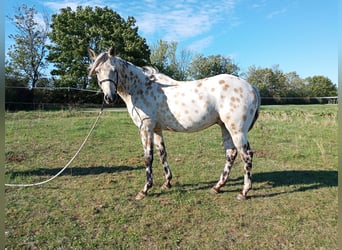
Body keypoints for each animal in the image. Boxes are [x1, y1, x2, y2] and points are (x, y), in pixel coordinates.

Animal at [87, 48, 260, 201]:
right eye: (97, 71)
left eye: (114, 70)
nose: (109, 98)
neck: (140, 88)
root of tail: (251, 87)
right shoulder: (156, 129)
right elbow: (162, 154)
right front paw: (167, 183)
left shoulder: (146, 129)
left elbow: (148, 158)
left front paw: (144, 190)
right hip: (225, 127)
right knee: (231, 154)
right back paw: (217, 187)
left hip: (237, 130)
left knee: (246, 156)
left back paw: (244, 192)